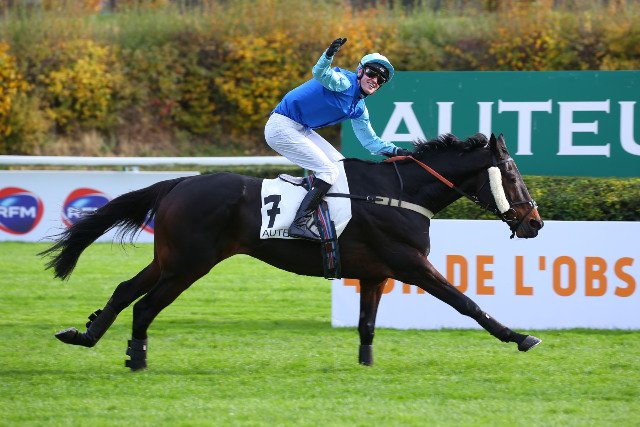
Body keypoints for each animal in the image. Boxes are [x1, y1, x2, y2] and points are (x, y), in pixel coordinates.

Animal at [40, 133, 544, 371]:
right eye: (512, 173)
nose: (534, 222)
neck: (398, 193)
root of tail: (179, 183)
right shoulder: (410, 264)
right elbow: (466, 302)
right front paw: (520, 336)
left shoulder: (376, 272)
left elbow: (366, 325)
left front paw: (365, 366)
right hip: (189, 264)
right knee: (145, 306)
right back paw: (137, 357)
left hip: (169, 258)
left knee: (126, 289)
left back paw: (85, 335)